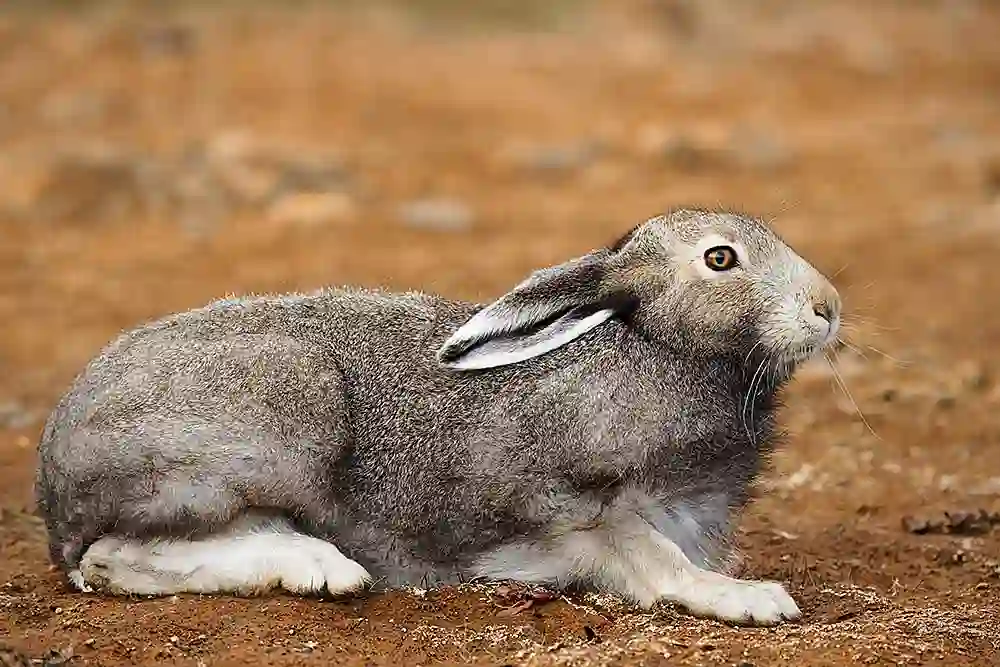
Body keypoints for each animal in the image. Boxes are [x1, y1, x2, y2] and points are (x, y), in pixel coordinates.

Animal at [34, 207, 841, 626]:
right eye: (720, 258)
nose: (828, 307)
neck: (654, 345)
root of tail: (54, 479)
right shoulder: (575, 505)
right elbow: (657, 558)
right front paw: (754, 600)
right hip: (273, 429)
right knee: (109, 559)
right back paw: (324, 569)